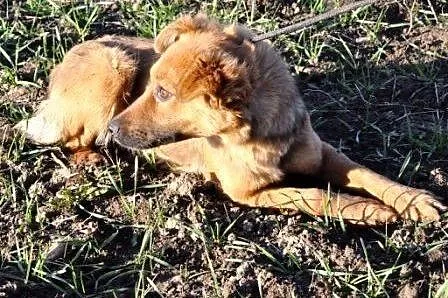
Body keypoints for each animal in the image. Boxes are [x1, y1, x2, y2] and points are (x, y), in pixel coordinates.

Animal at [107, 14, 444, 224]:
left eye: (163, 93)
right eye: (153, 87)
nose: (113, 129)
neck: (257, 134)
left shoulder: (322, 154)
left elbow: (366, 174)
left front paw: (413, 200)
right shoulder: (249, 193)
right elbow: (315, 195)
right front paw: (368, 210)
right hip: (117, 70)